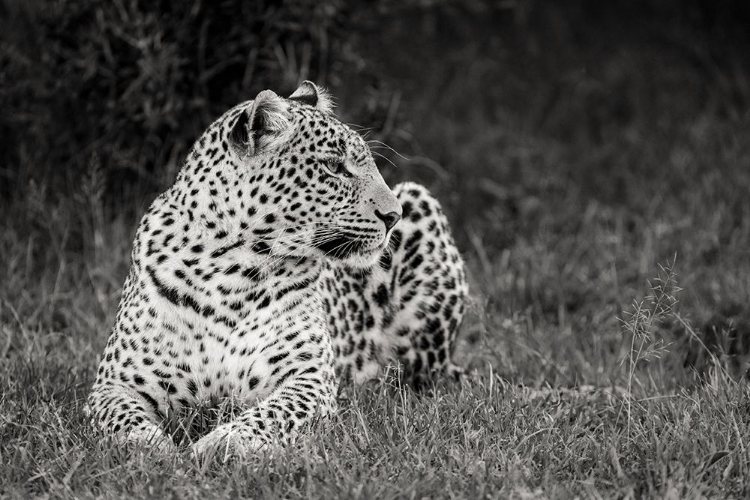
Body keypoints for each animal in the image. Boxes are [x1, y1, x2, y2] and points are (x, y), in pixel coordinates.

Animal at [85, 81, 468, 458]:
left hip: (421, 207)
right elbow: (120, 418)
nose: (393, 216)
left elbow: (272, 414)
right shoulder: (114, 383)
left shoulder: (308, 379)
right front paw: (149, 448)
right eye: (333, 166)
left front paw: (222, 444)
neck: (226, 271)